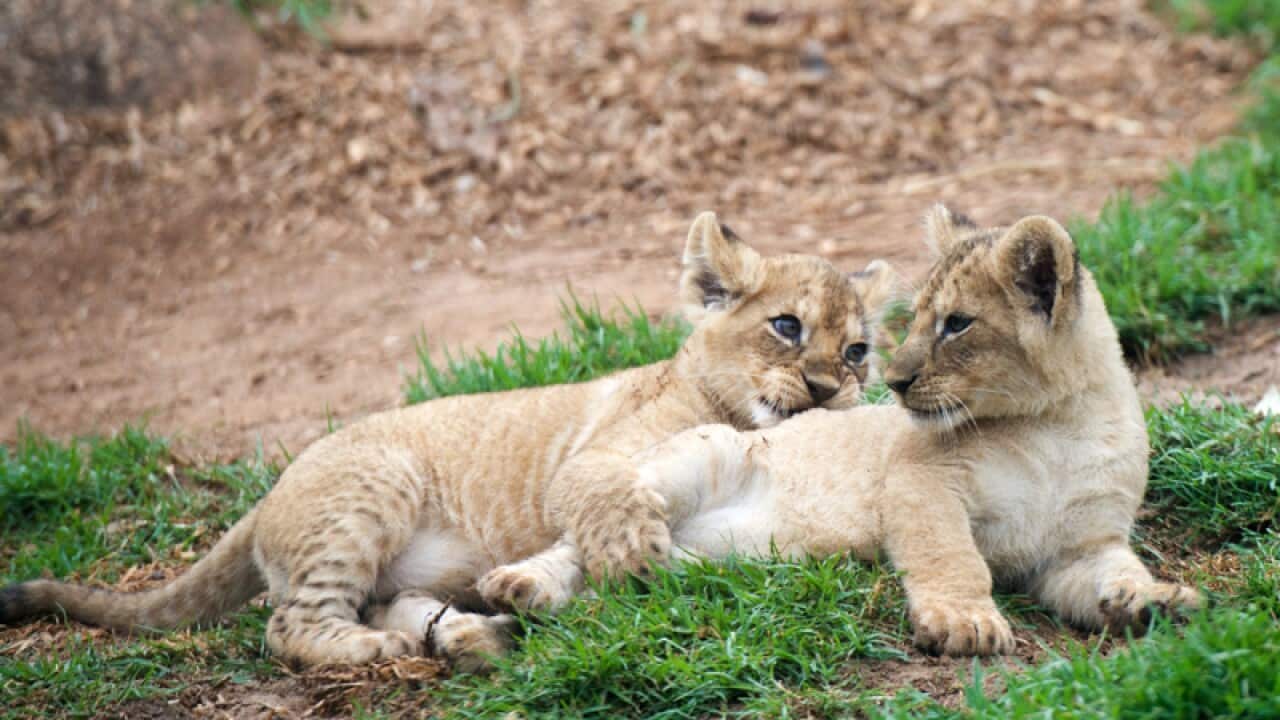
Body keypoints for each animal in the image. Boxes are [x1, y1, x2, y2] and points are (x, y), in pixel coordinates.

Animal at [0, 212, 898, 670]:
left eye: (858, 349)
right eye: (786, 327)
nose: (833, 389)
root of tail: (267, 497)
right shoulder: (595, 458)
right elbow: (603, 494)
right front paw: (631, 550)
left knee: (372, 604)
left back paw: (474, 635)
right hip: (372, 489)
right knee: (289, 627)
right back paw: (383, 649)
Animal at [480, 207, 1202, 657]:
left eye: (957, 324)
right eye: (917, 320)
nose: (897, 382)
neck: (1062, 426)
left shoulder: (1078, 550)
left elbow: (1113, 575)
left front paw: (1153, 602)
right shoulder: (921, 480)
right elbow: (953, 557)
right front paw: (965, 622)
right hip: (695, 458)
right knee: (590, 534)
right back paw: (521, 583)